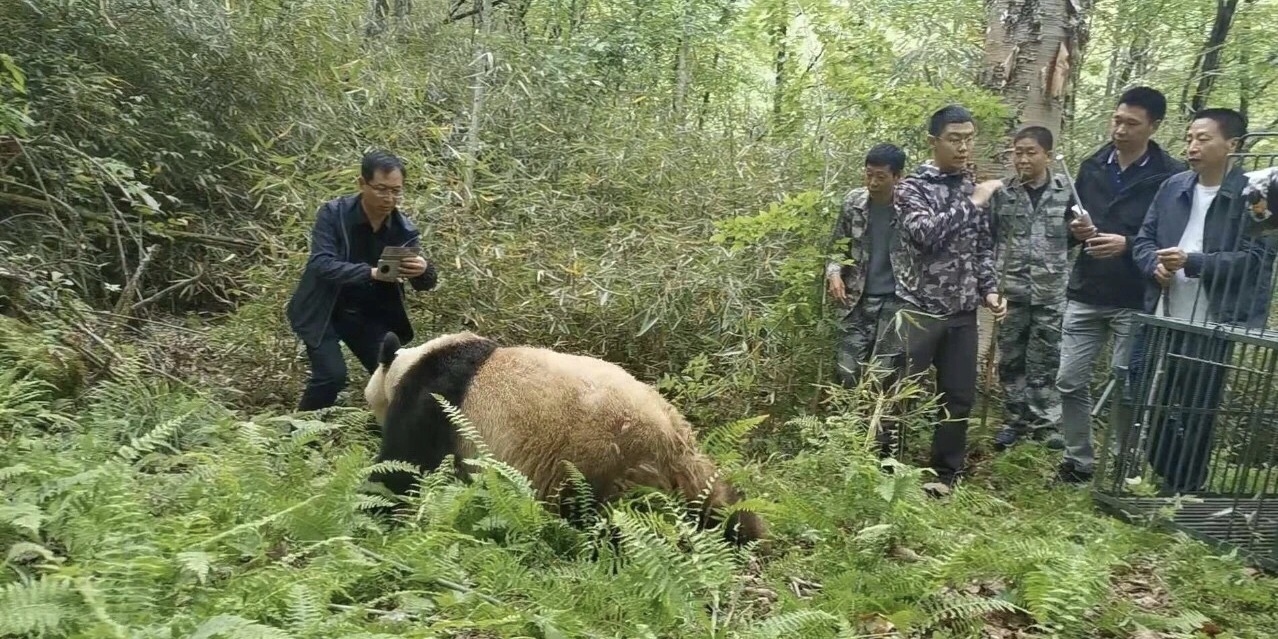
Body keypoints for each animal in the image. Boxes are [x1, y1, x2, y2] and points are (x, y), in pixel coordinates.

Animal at [362, 332, 766, 546]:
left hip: (595, 460)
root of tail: (667, 438)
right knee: (721, 501)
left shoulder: (433, 405)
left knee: (607, 519)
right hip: (691, 461)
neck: (409, 364)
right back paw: (744, 531)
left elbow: (403, 468)